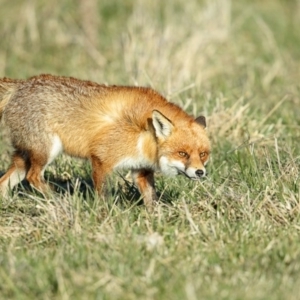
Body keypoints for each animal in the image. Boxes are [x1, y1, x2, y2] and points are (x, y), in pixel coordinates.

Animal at [0, 74, 211, 207]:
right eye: (182, 153)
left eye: (202, 154)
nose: (200, 172)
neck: (144, 134)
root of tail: (22, 84)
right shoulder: (100, 159)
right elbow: (103, 196)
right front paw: (105, 216)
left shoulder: (141, 170)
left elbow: (152, 199)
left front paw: (156, 219)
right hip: (46, 152)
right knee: (33, 177)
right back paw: (58, 199)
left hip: (23, 159)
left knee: (5, 181)